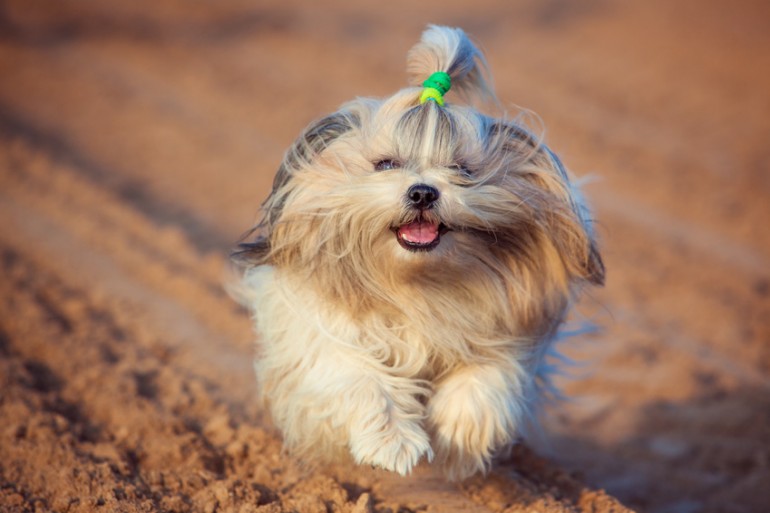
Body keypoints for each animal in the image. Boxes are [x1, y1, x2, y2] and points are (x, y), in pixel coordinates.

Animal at [231, 25, 604, 480]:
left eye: (461, 170)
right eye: (386, 164)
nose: (423, 191)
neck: (415, 285)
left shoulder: (509, 329)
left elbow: (488, 373)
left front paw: (459, 436)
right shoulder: (318, 328)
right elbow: (357, 372)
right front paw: (393, 444)